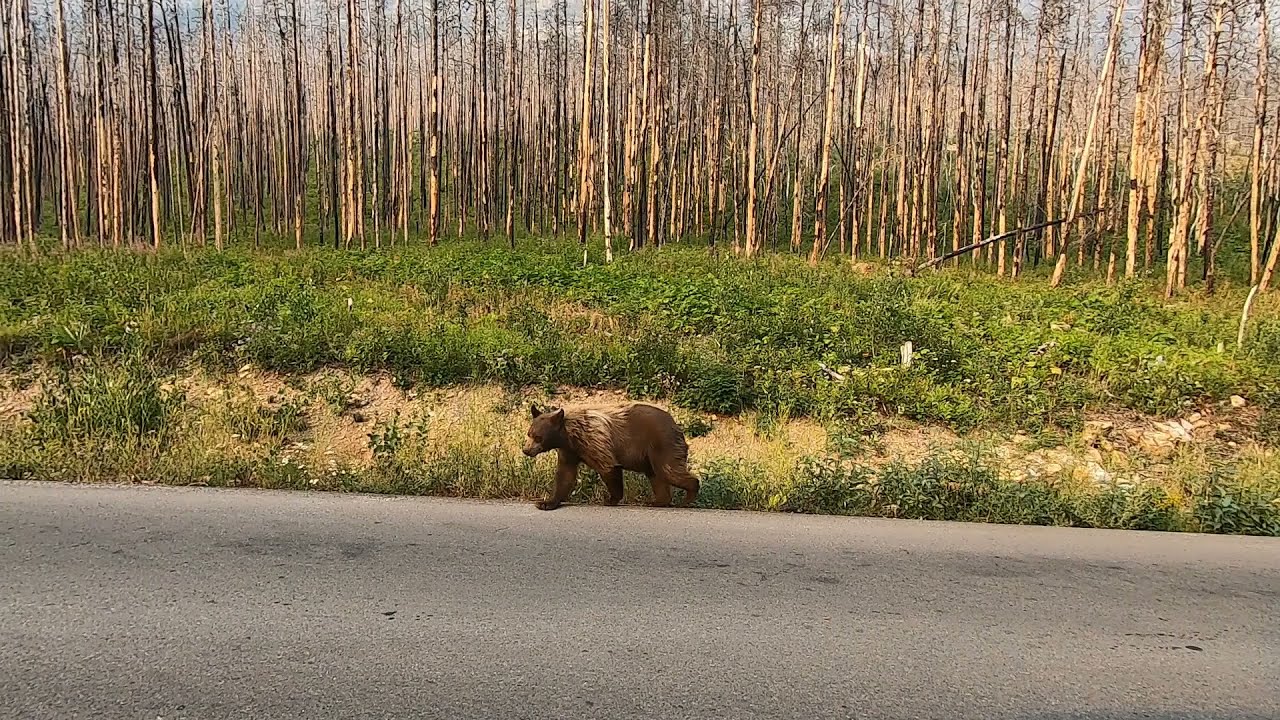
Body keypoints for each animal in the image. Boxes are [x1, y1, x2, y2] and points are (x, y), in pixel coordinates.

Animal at [522, 402, 700, 511]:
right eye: (529, 434)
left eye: (538, 437)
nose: (526, 450)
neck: (569, 436)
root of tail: (676, 425)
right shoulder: (569, 451)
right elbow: (565, 475)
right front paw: (546, 502)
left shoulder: (594, 442)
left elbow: (608, 467)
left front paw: (610, 499)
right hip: (651, 455)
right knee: (657, 476)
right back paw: (658, 501)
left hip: (662, 444)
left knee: (669, 471)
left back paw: (688, 497)